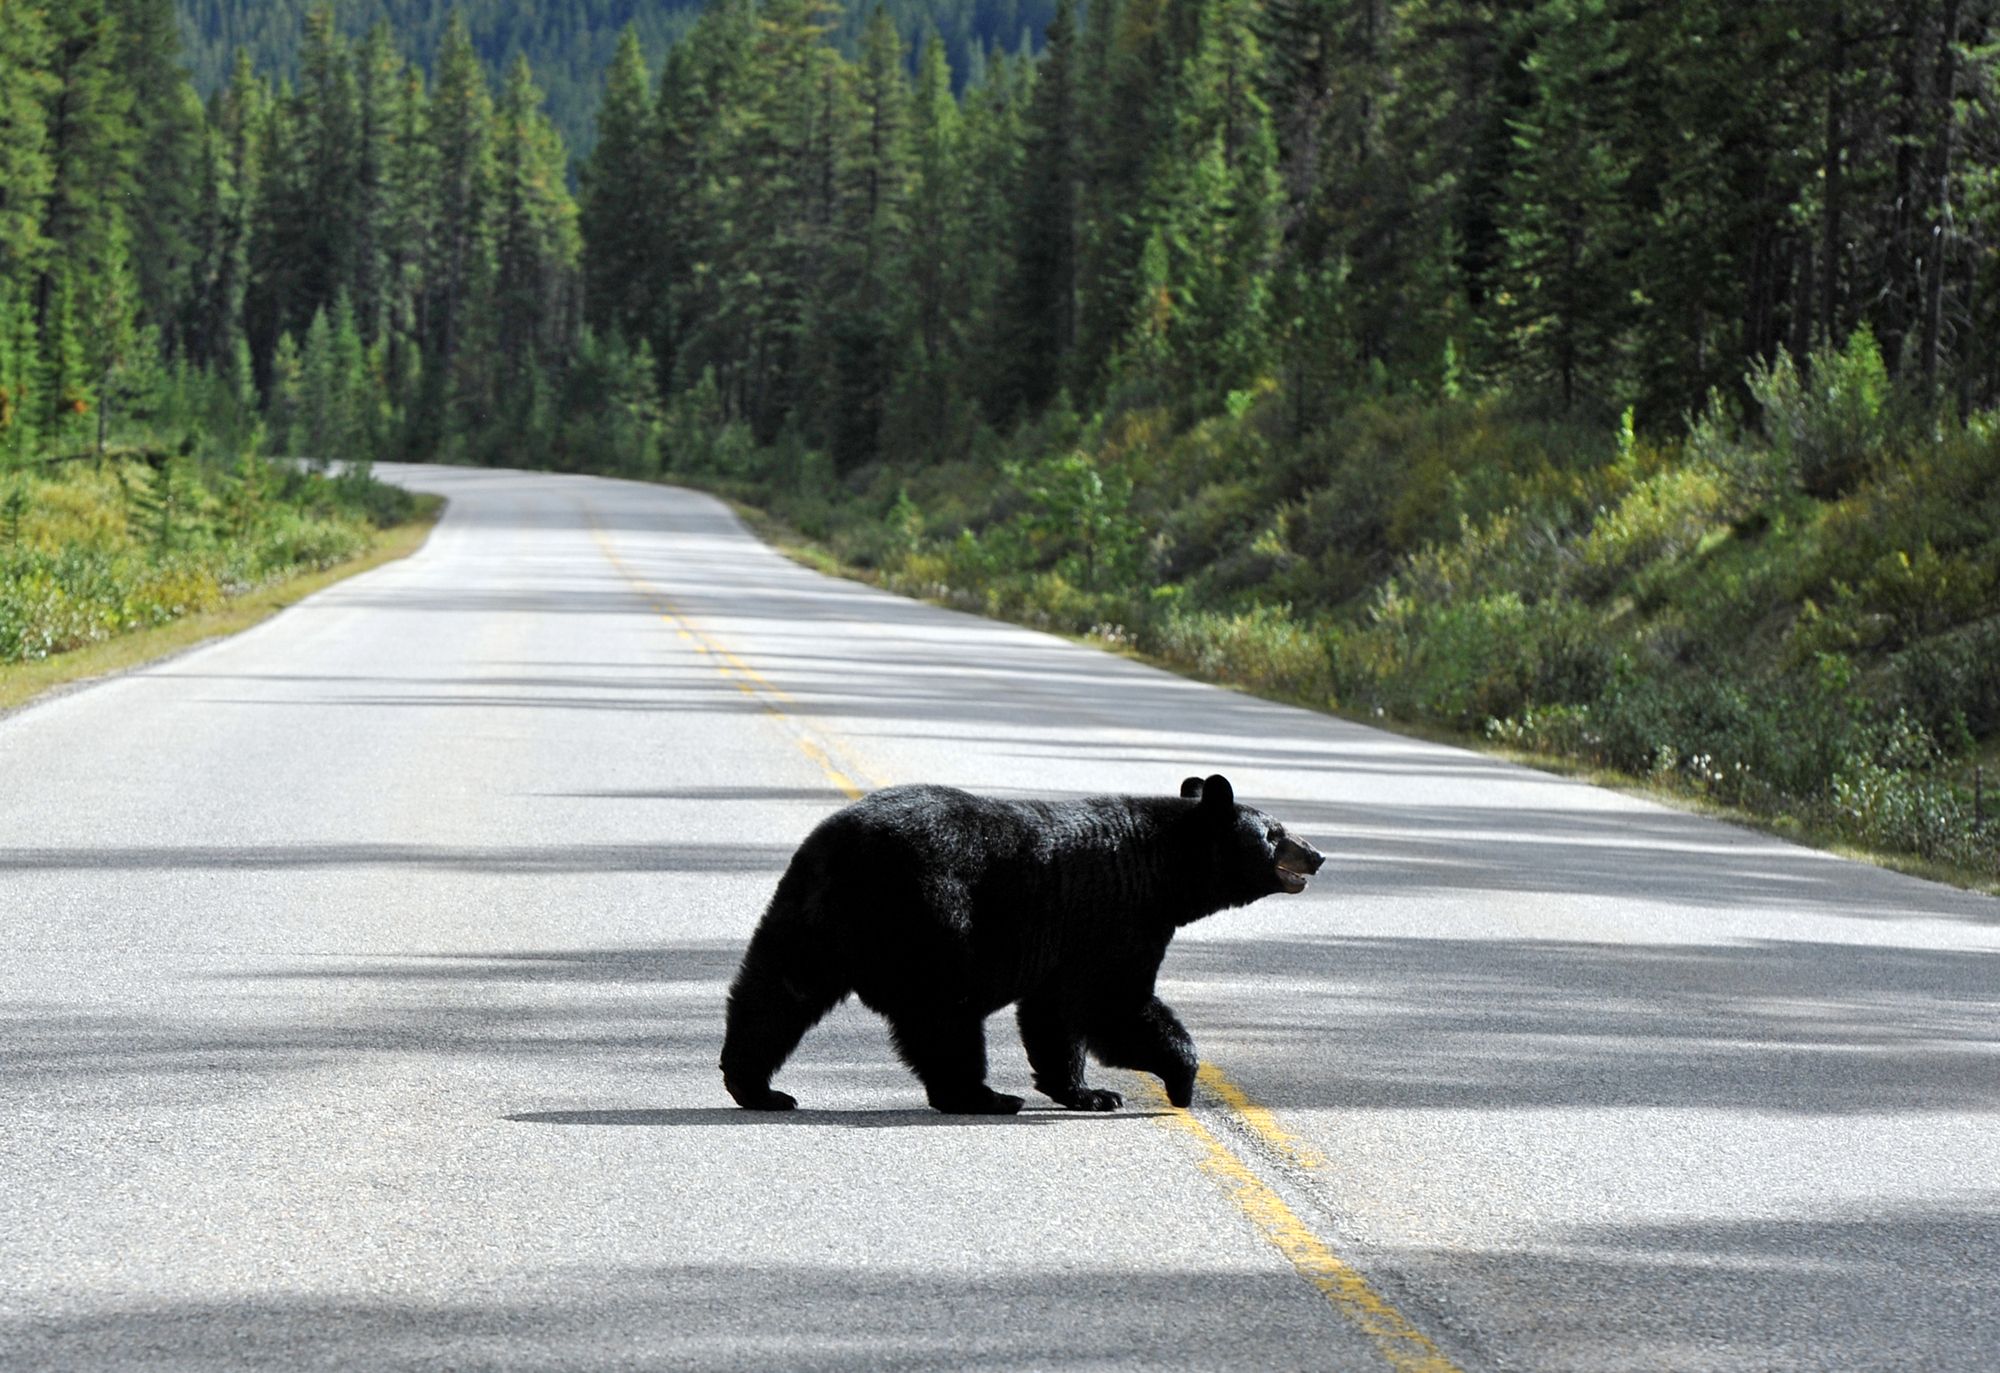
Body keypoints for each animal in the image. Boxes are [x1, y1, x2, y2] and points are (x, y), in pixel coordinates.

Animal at [724, 780, 1328, 1112]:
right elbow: (1113, 1005)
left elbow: (1054, 1014)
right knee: (944, 1016)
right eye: (1274, 833)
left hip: (810, 917)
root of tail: (845, 849)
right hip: (936, 918)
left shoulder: (1069, 943)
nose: (1317, 854)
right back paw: (981, 1098)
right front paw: (1180, 1082)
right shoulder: (1117, 919)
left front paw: (1089, 1093)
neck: (1161, 869)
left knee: (776, 993)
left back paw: (756, 1086)